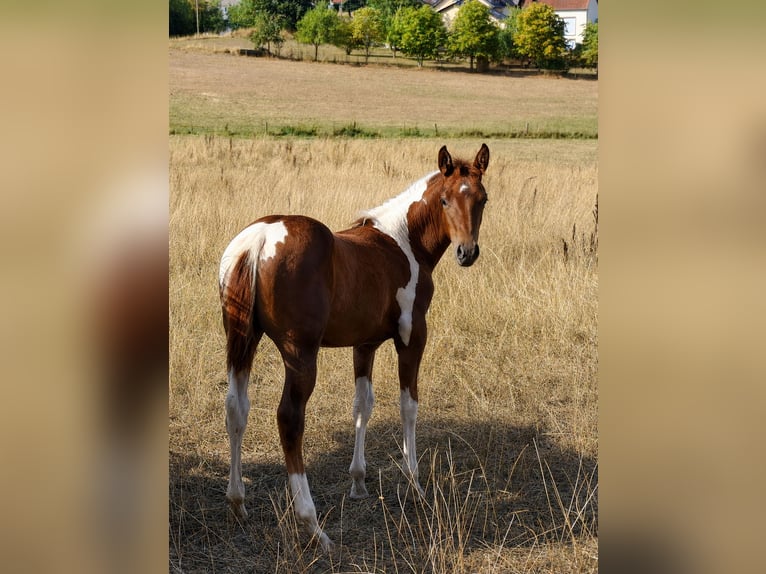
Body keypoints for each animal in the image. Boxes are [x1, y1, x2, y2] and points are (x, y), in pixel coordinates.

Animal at [218, 143, 490, 551]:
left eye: (482, 199)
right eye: (444, 200)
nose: (466, 252)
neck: (402, 243)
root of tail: (261, 239)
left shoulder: (364, 343)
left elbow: (362, 405)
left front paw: (359, 480)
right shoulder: (412, 335)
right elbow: (408, 405)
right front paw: (414, 484)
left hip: (243, 341)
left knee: (237, 408)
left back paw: (237, 503)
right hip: (300, 354)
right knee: (289, 419)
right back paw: (313, 525)